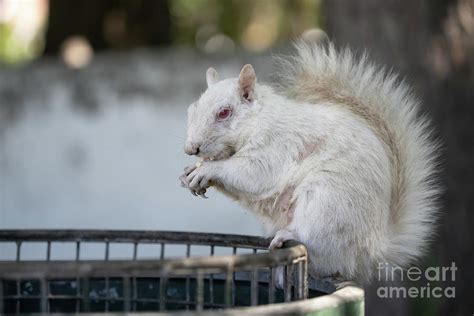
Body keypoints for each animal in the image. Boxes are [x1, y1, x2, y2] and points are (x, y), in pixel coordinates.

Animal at [179, 40, 440, 284]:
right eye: (192, 109)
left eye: (224, 112)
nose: (191, 149)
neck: (259, 119)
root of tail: (371, 251)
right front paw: (190, 172)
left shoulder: (277, 146)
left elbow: (254, 175)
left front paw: (208, 169)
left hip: (327, 202)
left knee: (318, 246)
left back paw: (289, 235)